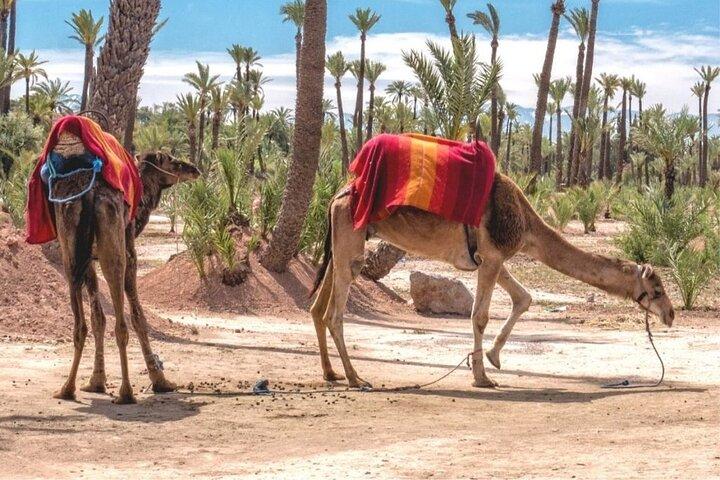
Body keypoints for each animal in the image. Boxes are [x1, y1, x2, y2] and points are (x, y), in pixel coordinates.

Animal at [51, 139, 199, 404]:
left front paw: (96, 382)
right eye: (171, 160)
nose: (194, 169)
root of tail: (90, 194)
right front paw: (161, 381)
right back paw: (126, 392)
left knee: (80, 324)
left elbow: (98, 318)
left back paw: (67, 388)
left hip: (70, 250)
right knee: (121, 322)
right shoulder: (131, 251)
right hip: (114, 244)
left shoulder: (88, 260)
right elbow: (138, 317)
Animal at [310, 172, 675, 388]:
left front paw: (492, 358)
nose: (671, 314)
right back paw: (355, 378)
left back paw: (330, 373)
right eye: (657, 289)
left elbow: (524, 298)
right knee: (334, 313)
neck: (527, 224)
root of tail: (336, 196)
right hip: (351, 240)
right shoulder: (494, 256)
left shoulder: (492, 258)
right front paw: (482, 377)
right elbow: (480, 316)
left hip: (343, 243)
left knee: (317, 307)